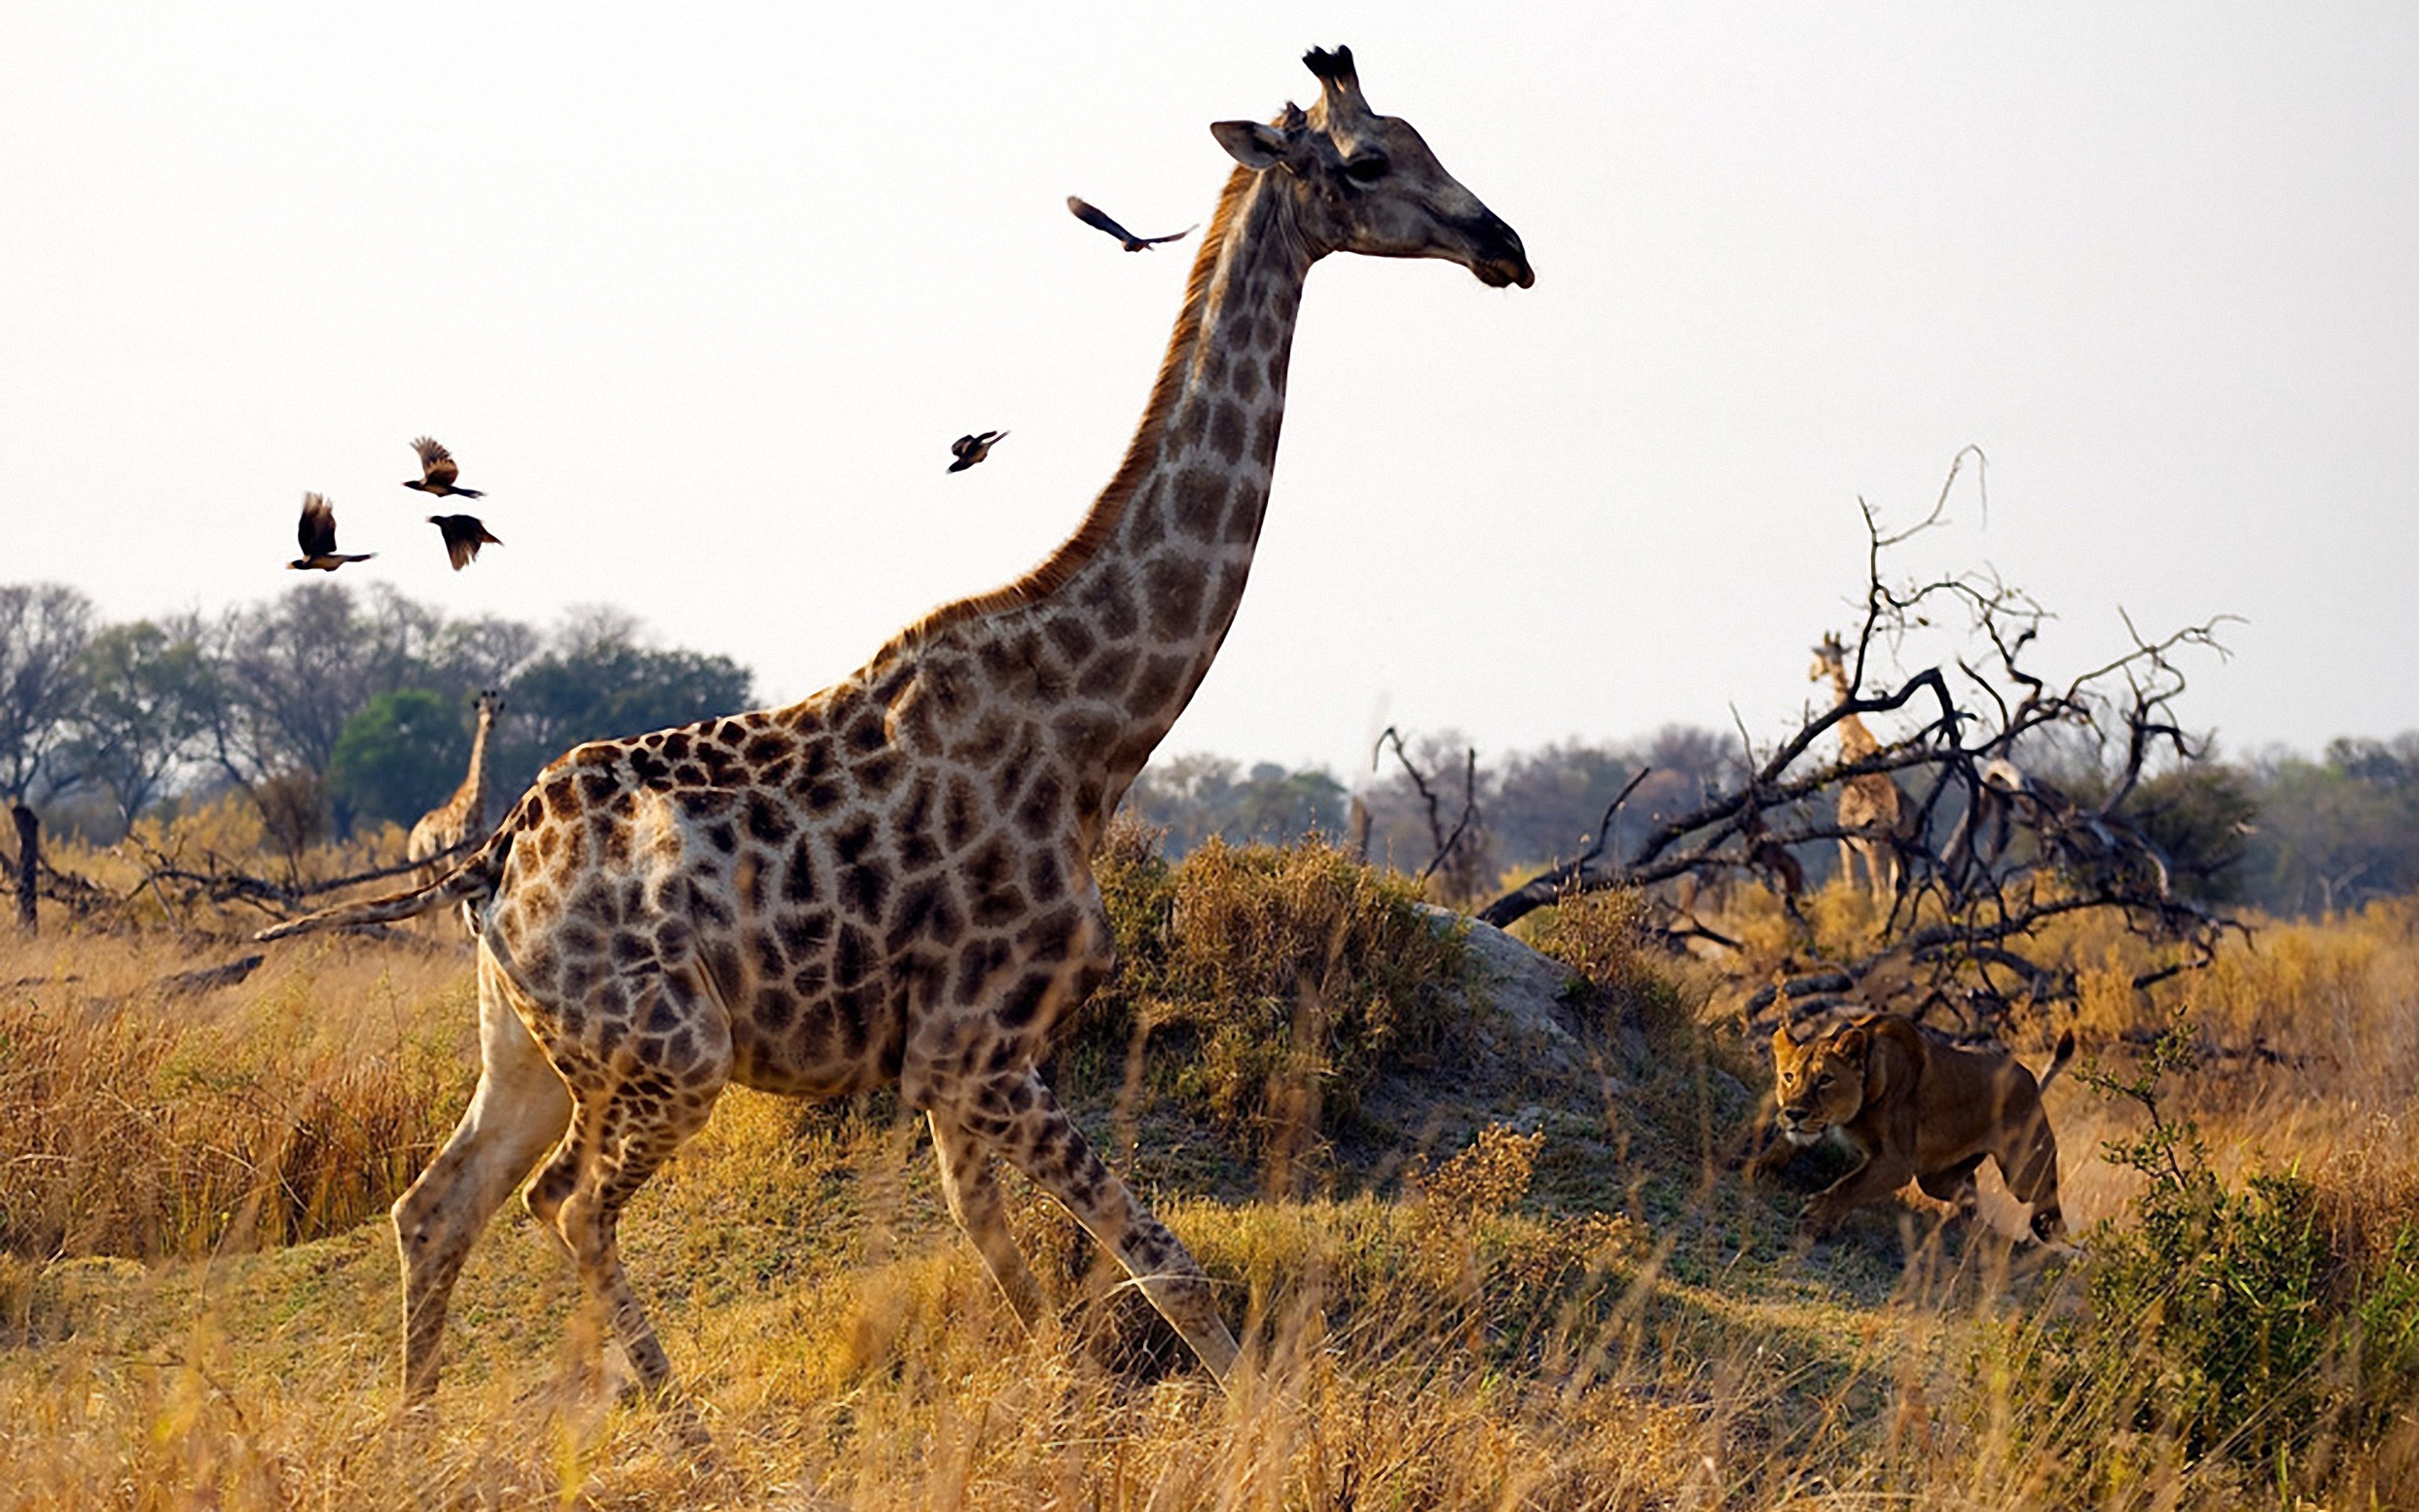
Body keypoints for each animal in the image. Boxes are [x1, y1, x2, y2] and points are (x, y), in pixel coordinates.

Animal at [260, 41, 1529, 1422]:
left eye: (1426, 139)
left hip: (532, 1047)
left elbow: (1019, 1267)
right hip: (671, 1047)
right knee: (569, 1207)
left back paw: (420, 1432)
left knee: (438, 1205)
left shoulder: (962, 1060)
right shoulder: (976, 1048)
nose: (1506, 245)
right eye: (1369, 160)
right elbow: (1159, 1261)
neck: (1095, 730)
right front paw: (1259, 1431)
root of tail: (495, 867)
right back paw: (689, 1440)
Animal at [1819, 629, 1905, 899]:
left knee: (1880, 892)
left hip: (1874, 849)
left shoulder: (1845, 845)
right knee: (1896, 890)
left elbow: (1851, 887)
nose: (1812, 673)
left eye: (1819, 657)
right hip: (1901, 850)